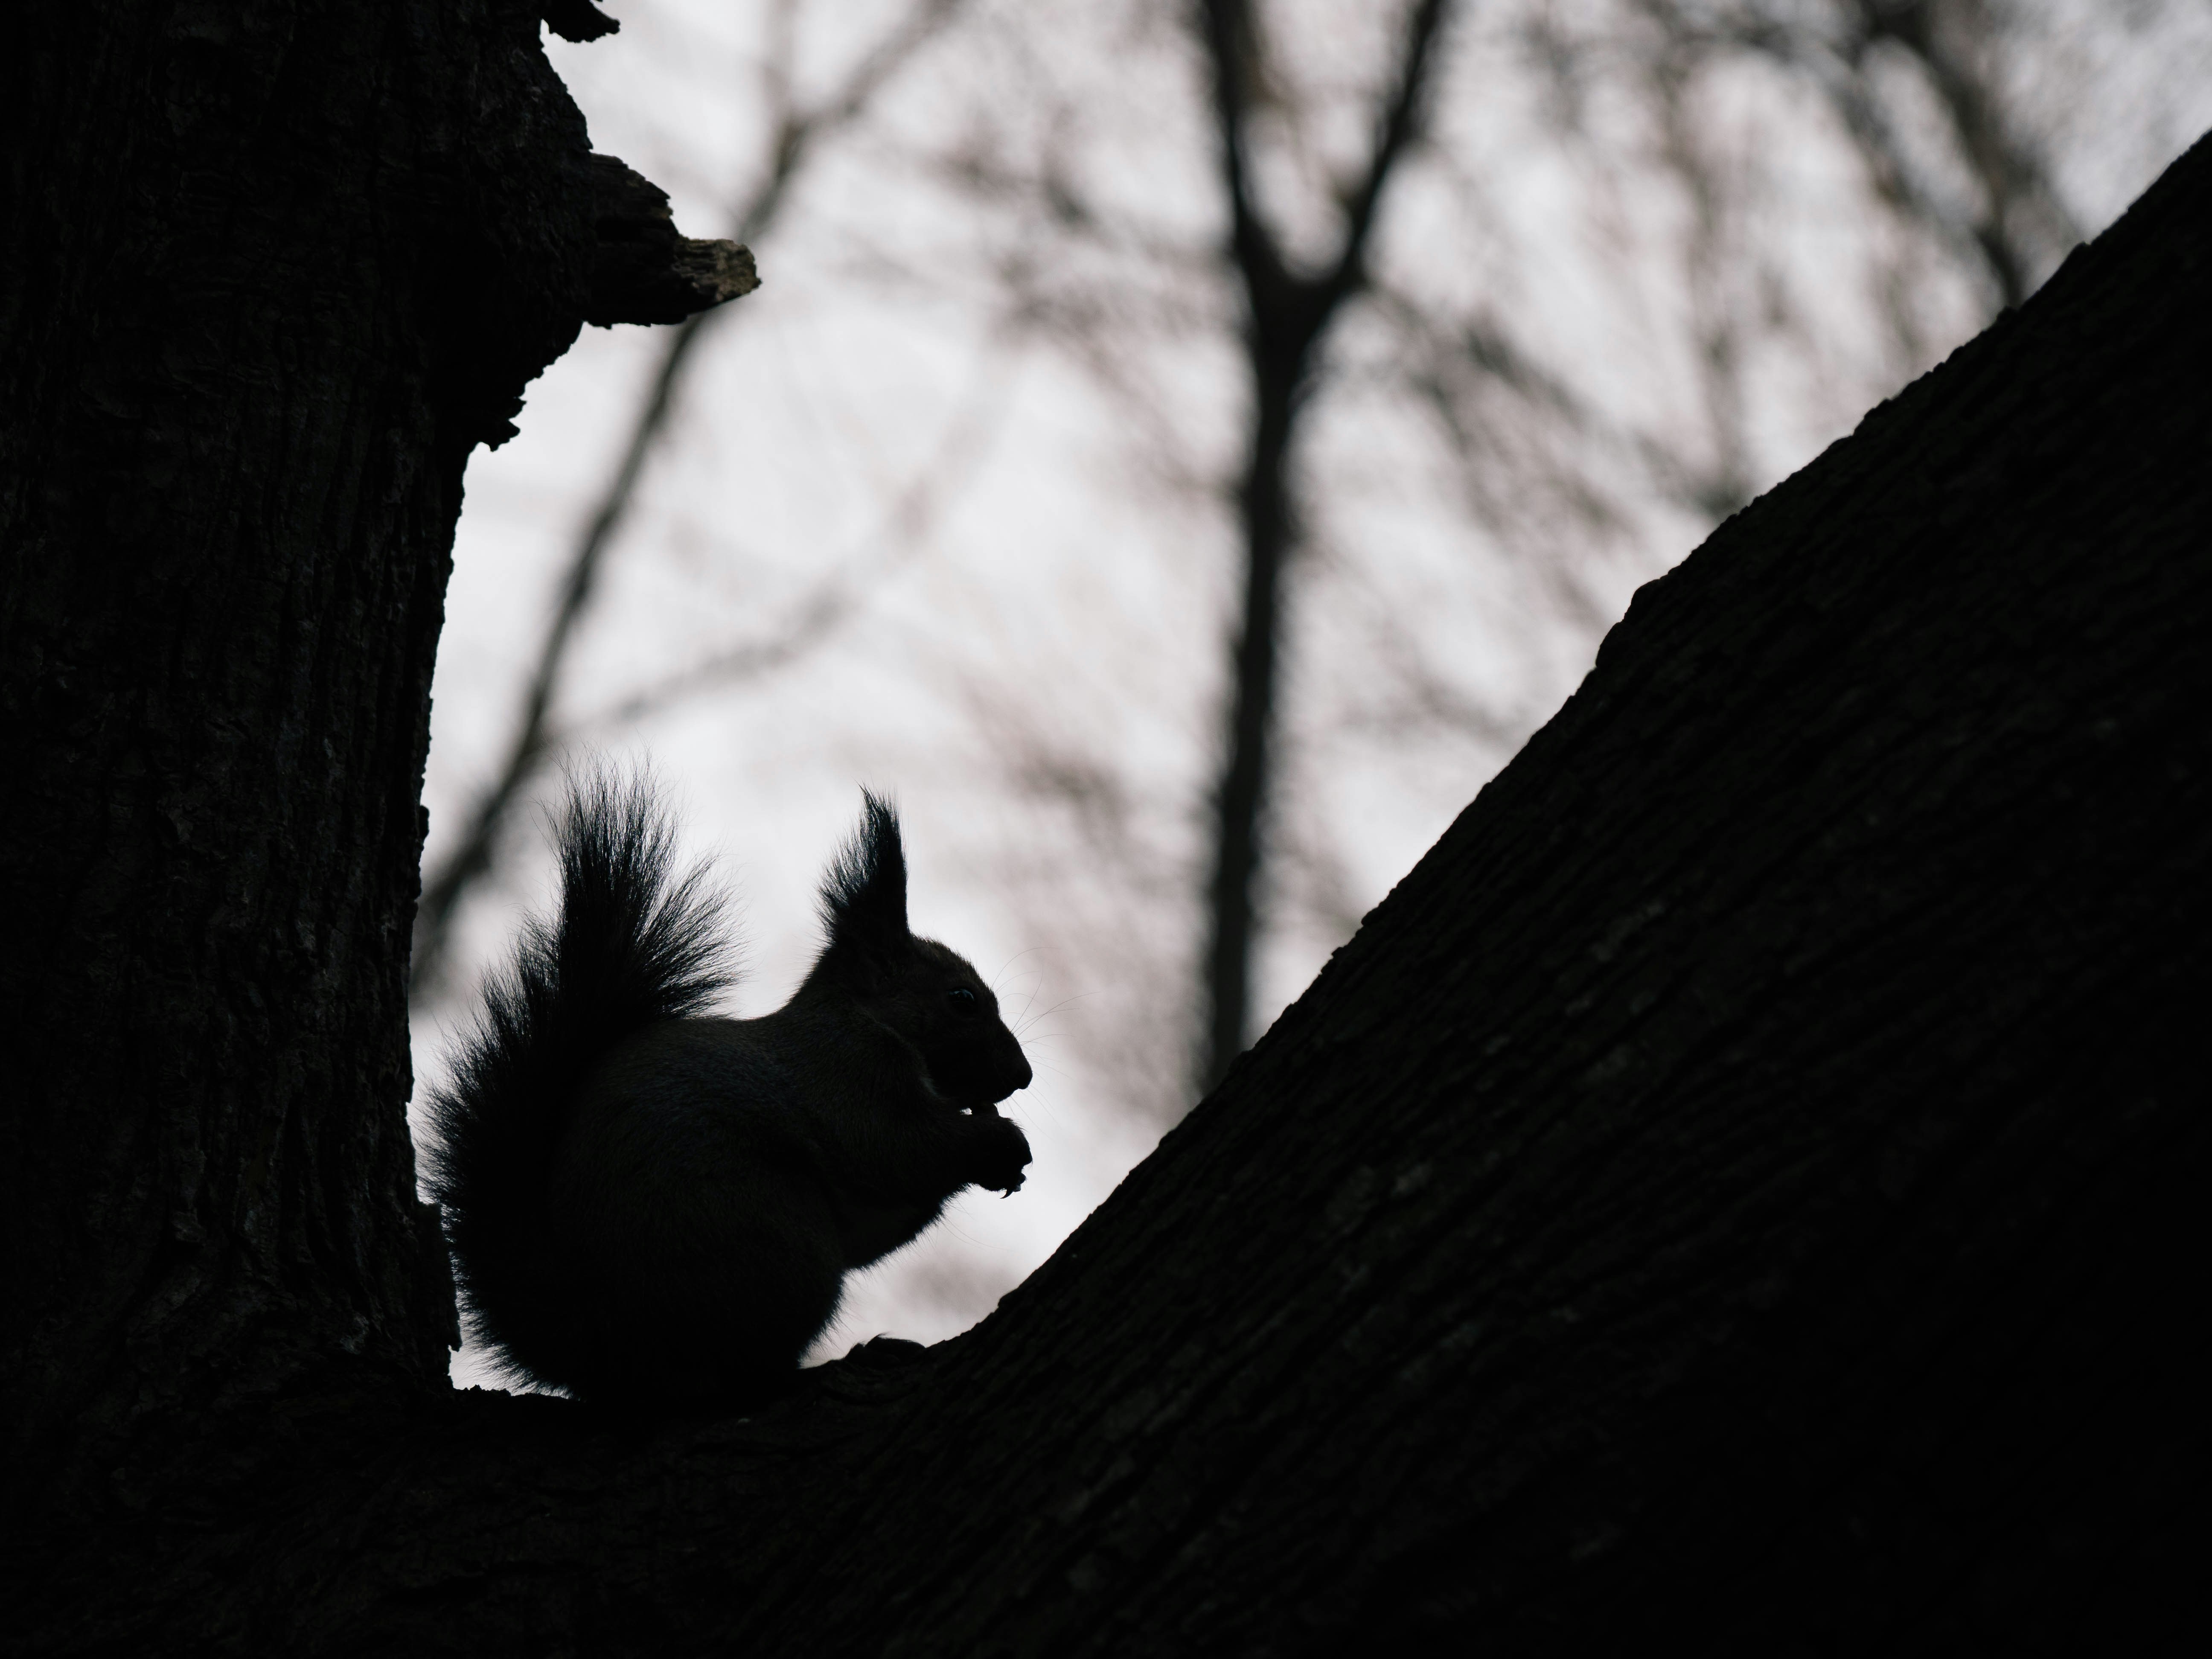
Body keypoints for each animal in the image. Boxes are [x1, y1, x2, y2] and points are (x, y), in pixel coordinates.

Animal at [423, 770, 1033, 1404]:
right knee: (748, 1375)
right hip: (777, 1247)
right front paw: (999, 1142)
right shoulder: (848, 1078)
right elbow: (898, 1150)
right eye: (962, 999)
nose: (1023, 1076)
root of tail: (607, 1345)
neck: (865, 1020)